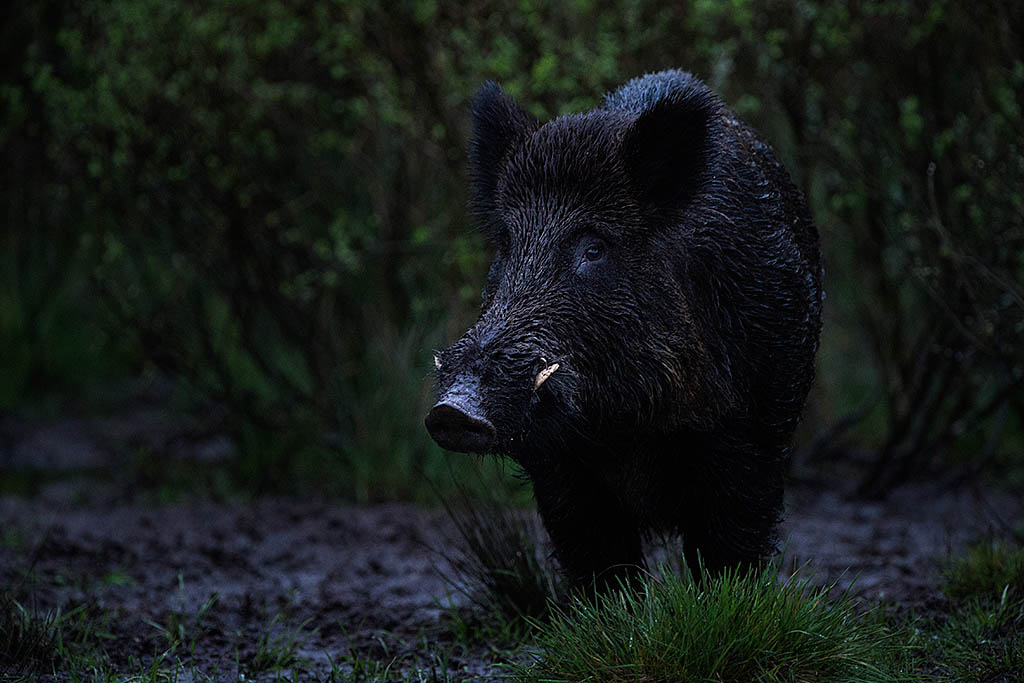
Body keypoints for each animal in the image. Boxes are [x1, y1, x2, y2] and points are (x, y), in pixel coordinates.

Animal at [425, 70, 823, 589]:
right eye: (507, 245)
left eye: (594, 249)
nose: (452, 411)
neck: (626, 424)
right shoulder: (560, 468)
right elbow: (599, 559)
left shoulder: (752, 433)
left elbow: (727, 547)